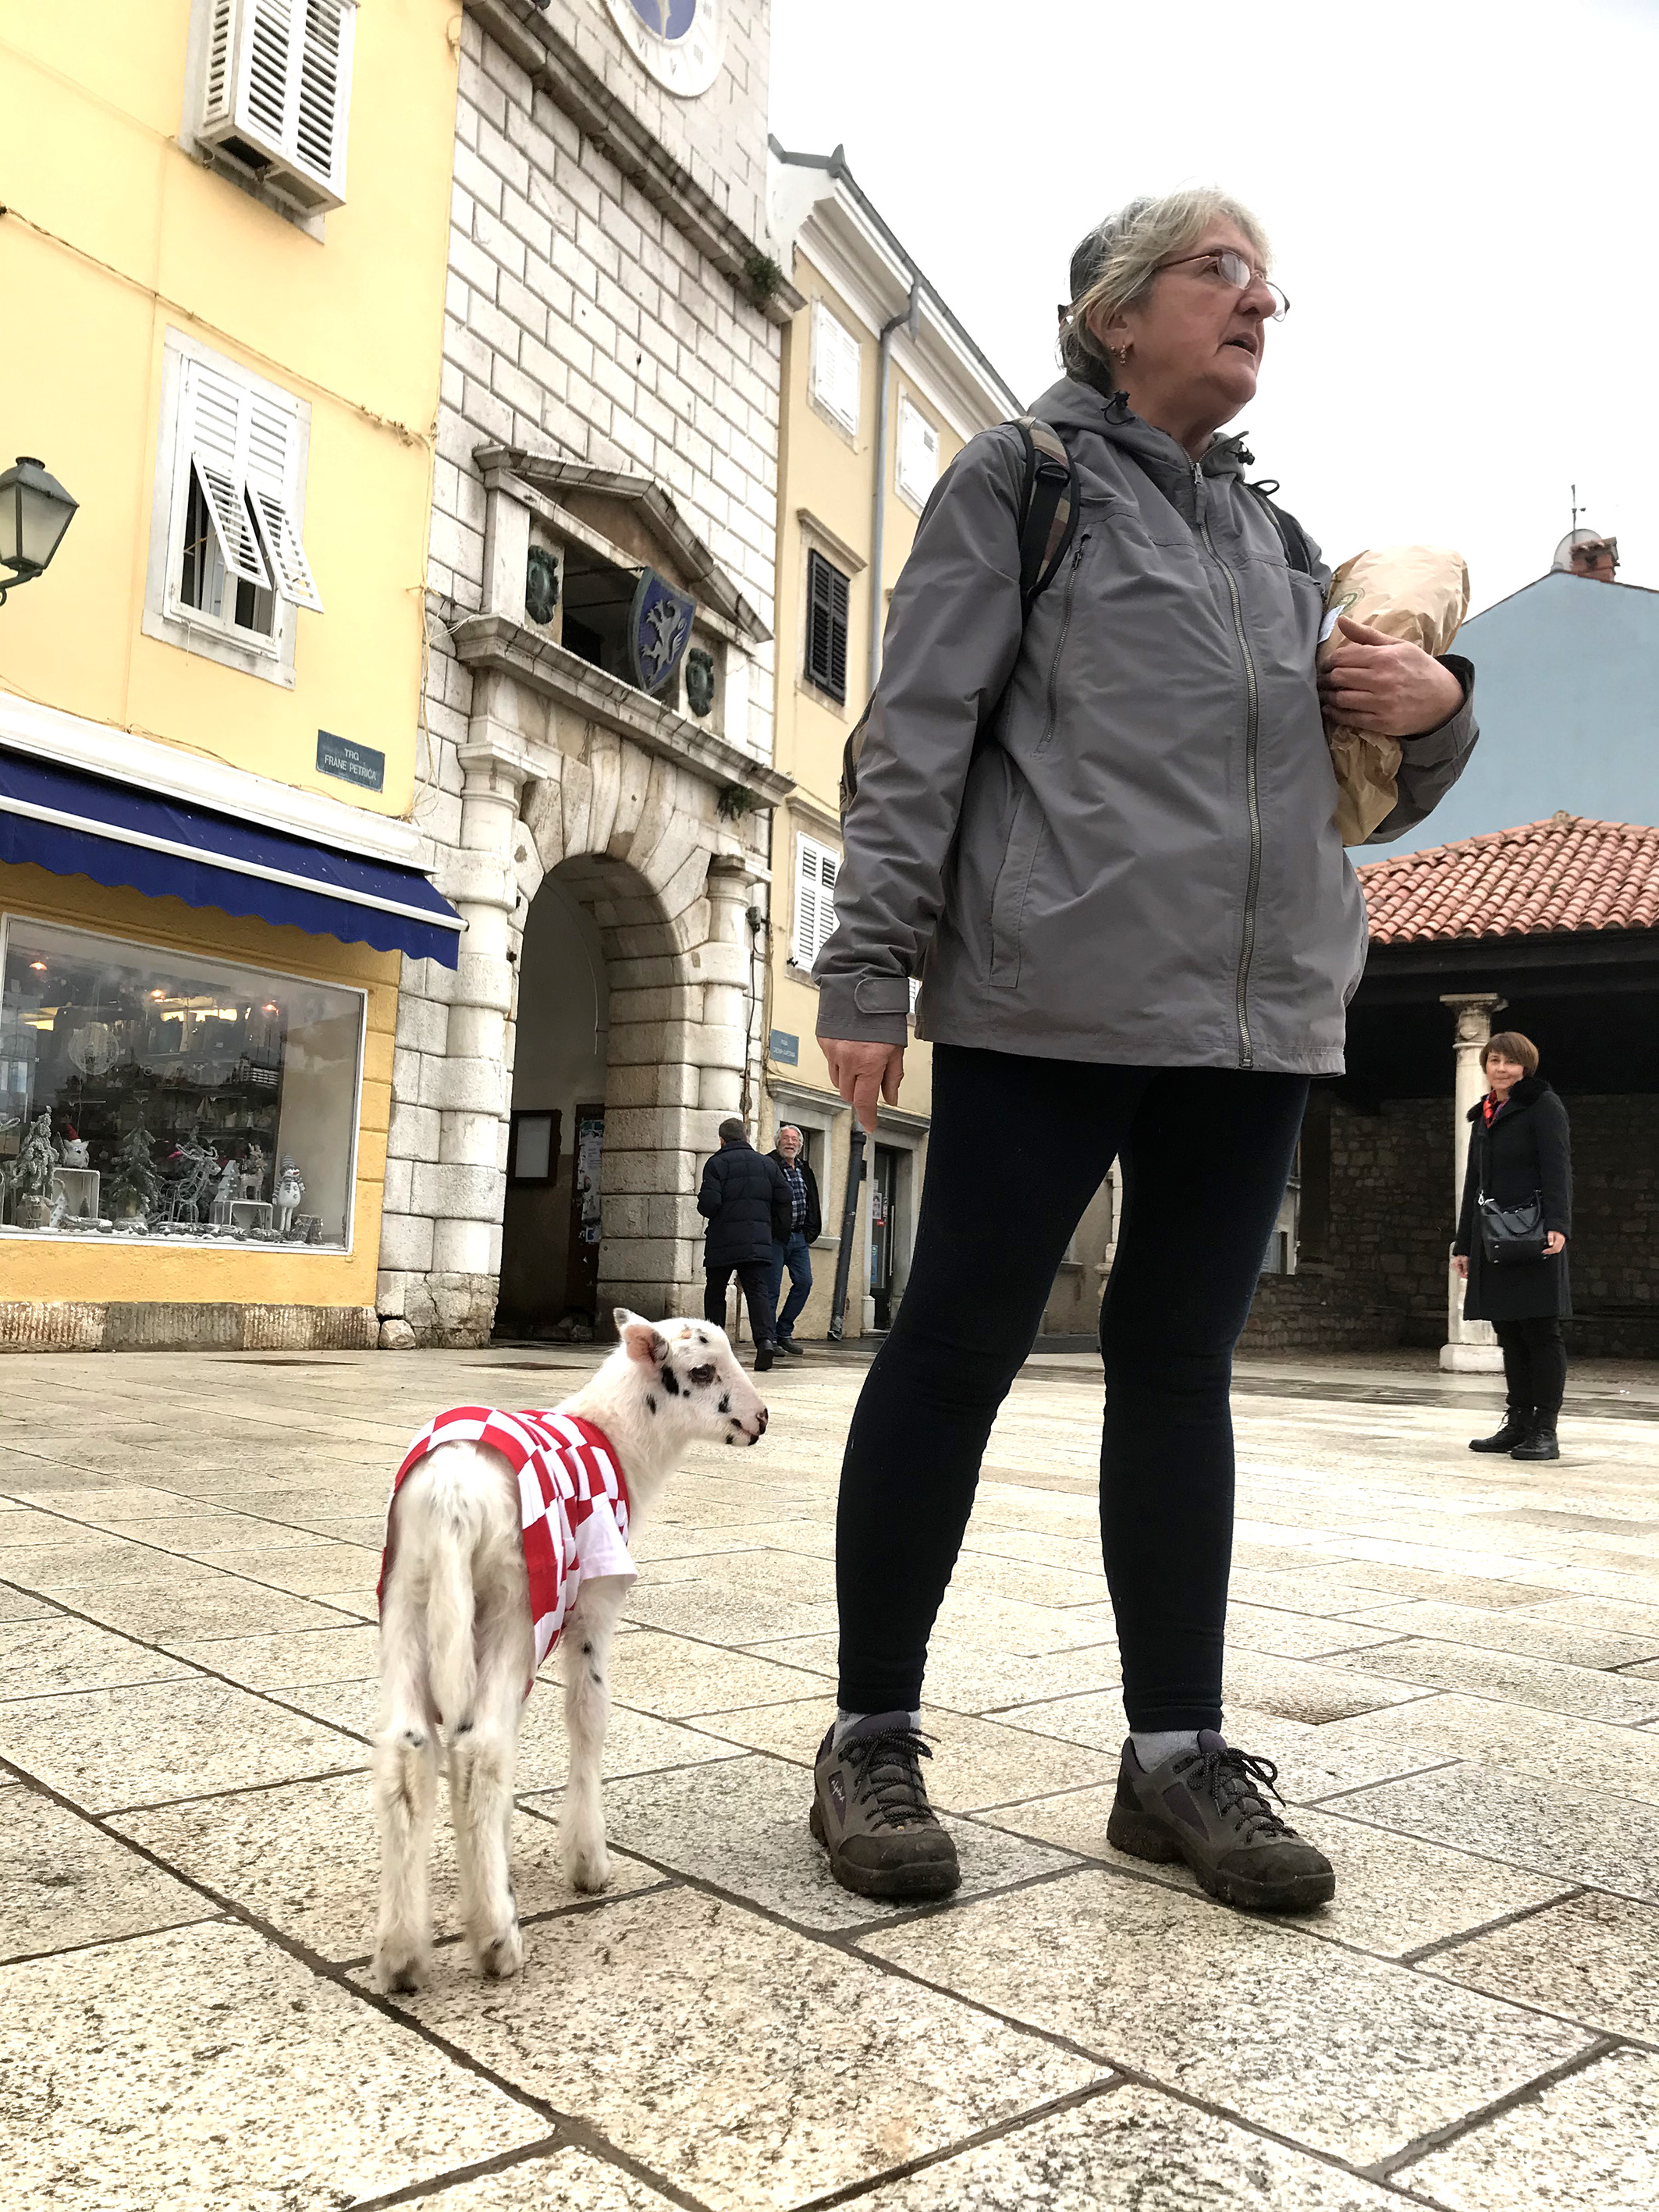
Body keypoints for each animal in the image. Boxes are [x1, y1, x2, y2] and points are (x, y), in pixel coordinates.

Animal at [369, 1300, 765, 1999]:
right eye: (702, 1369)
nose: (761, 1417)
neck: (619, 1439)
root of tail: (451, 1499)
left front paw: (495, 1853)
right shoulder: (591, 1607)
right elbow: (588, 1717)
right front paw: (586, 1861)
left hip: (411, 1599)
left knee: (410, 1751)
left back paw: (403, 1954)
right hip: (510, 1602)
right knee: (480, 1748)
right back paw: (496, 1941)